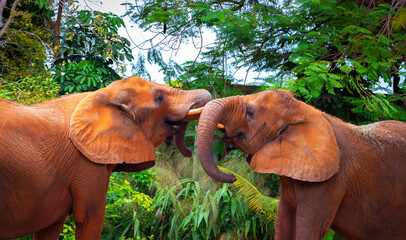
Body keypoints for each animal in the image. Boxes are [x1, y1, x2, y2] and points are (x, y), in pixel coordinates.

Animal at [0, 77, 209, 240]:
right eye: (160, 98)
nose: (190, 151)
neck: (105, 93)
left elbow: (51, 228)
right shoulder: (85, 164)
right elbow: (90, 219)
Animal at [197, 90, 406, 240]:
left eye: (250, 113)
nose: (232, 177)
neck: (302, 111)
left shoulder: (330, 180)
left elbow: (309, 229)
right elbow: (283, 224)